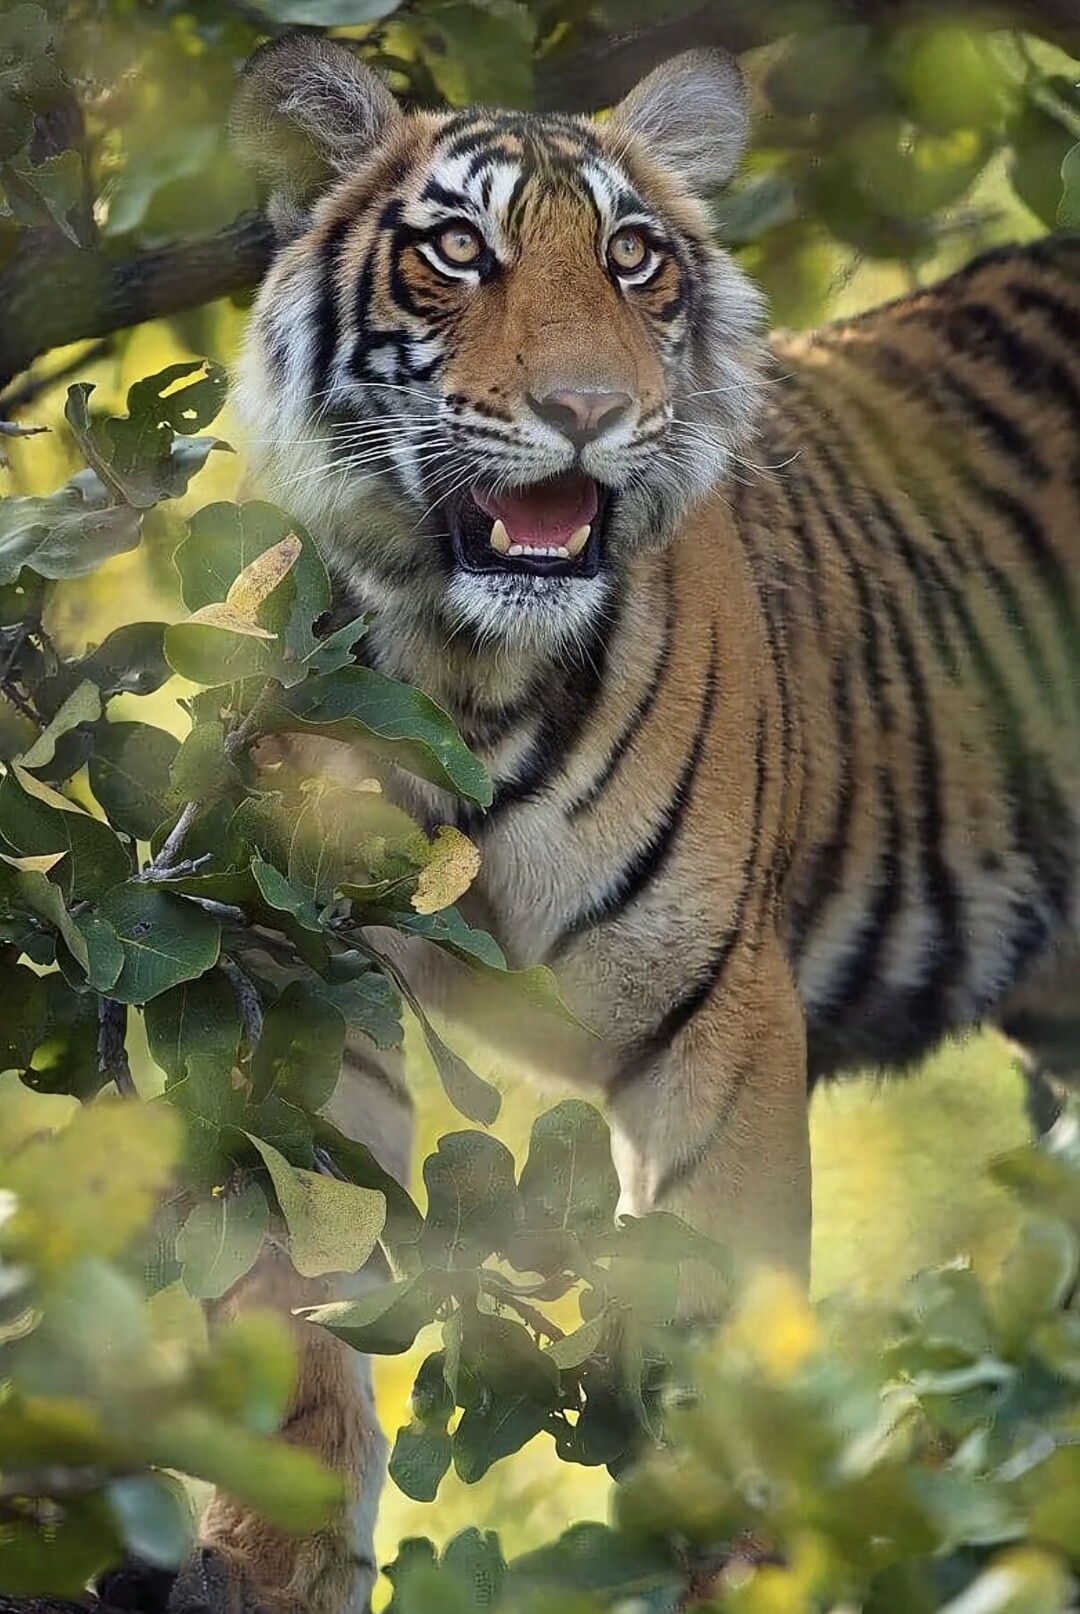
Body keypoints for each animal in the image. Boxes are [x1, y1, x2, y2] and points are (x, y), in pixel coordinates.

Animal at [151, 31, 1078, 1614]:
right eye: (459, 250)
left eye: (633, 257)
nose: (586, 410)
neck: (463, 670)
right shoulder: (296, 974)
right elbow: (288, 1298)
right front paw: (273, 1559)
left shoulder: (716, 1016)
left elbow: (718, 1332)